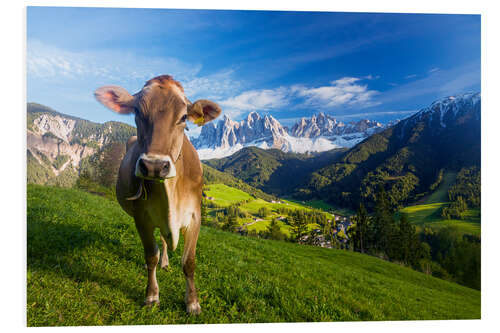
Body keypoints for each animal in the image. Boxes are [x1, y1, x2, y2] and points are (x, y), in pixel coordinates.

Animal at [94, 74, 220, 312]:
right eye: (136, 111)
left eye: (183, 117)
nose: (153, 166)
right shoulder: (141, 217)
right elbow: (150, 255)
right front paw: (152, 295)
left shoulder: (195, 216)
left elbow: (189, 261)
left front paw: (193, 302)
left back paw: (166, 263)